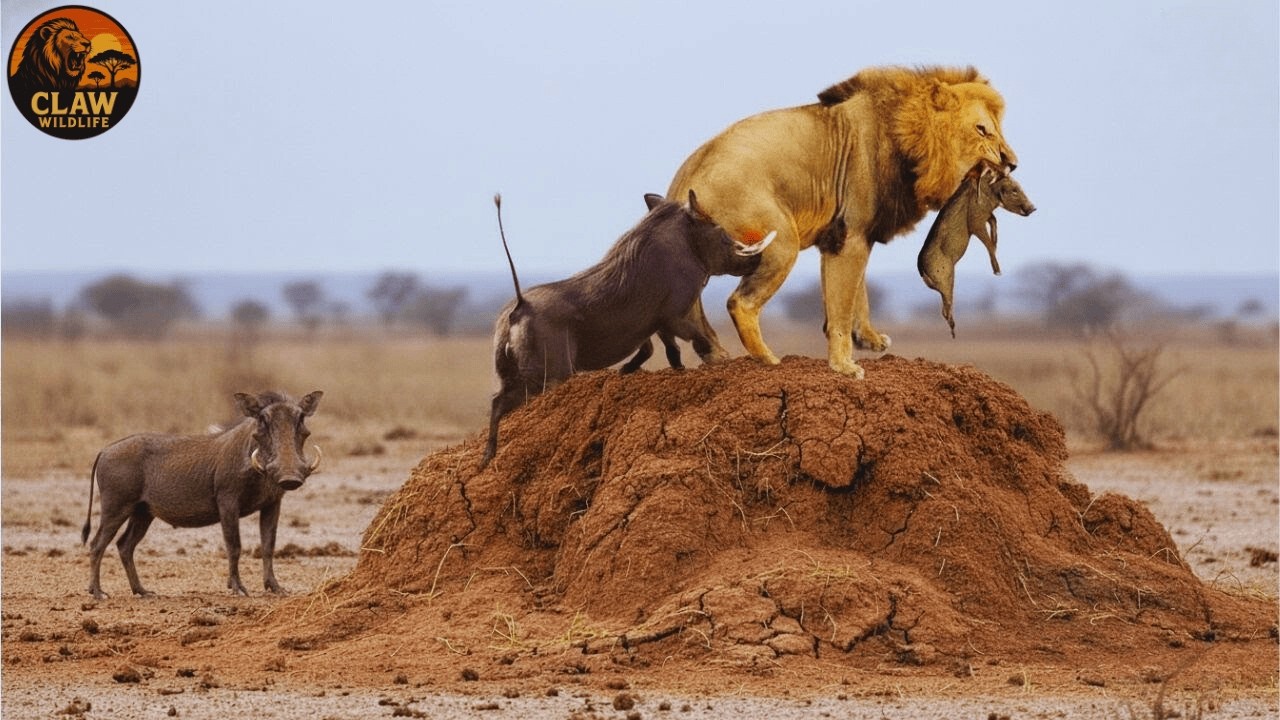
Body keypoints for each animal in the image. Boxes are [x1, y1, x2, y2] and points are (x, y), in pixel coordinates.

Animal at [667, 65, 1018, 377]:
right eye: (982, 129)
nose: (1012, 163)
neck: (906, 137)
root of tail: (682, 184)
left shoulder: (847, 237)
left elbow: (857, 295)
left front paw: (868, 339)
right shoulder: (850, 235)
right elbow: (842, 306)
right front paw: (845, 366)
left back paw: (715, 354)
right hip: (780, 241)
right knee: (740, 303)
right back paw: (768, 360)